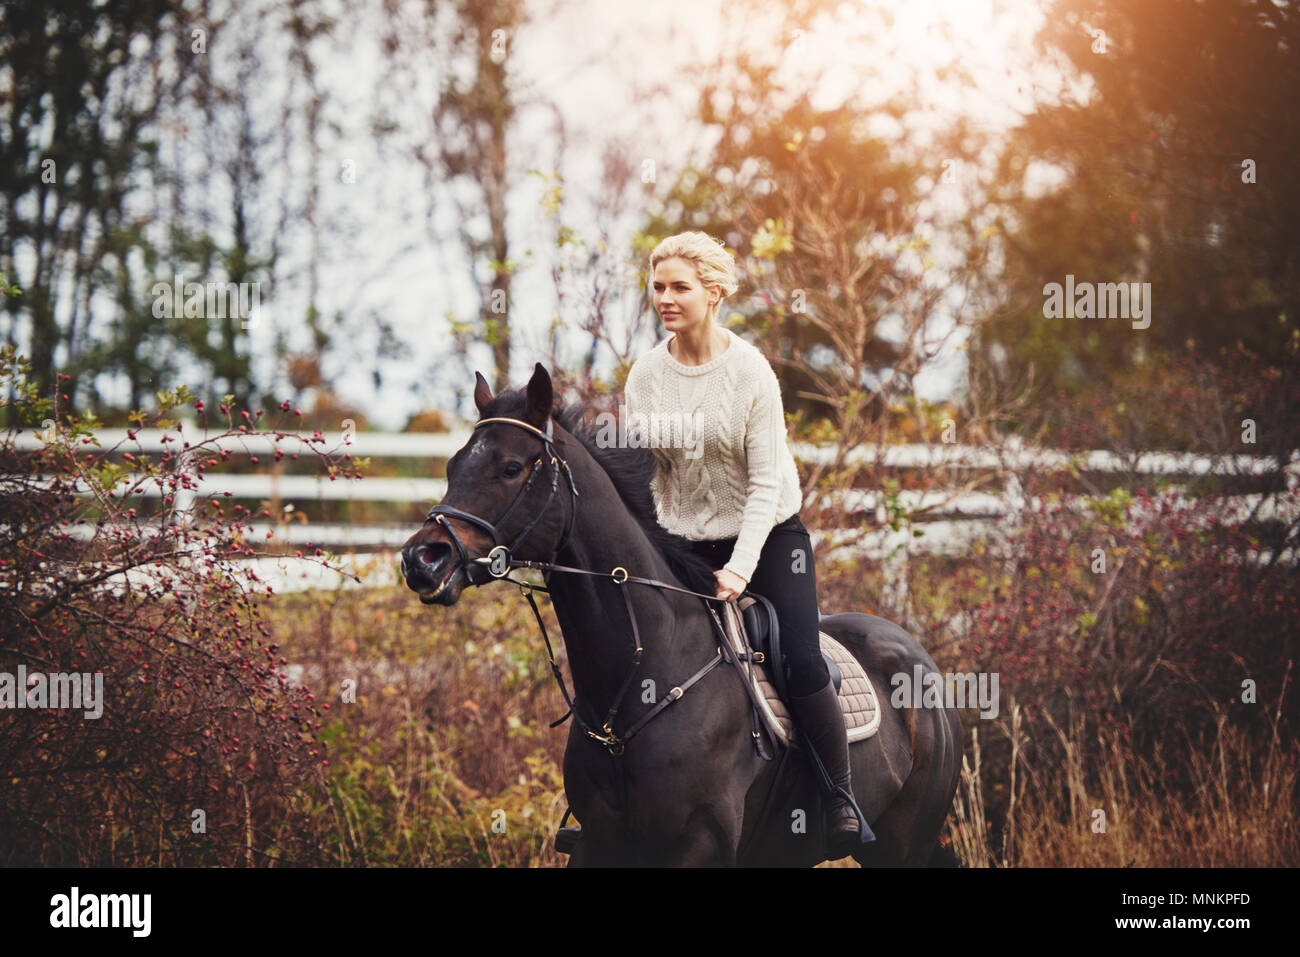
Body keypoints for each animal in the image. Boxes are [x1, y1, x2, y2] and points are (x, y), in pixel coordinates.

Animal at [400, 366, 961, 868]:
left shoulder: (699, 842)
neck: (640, 676)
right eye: (452, 468)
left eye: (511, 468)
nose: (421, 560)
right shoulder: (601, 843)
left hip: (901, 846)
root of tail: (914, 651)